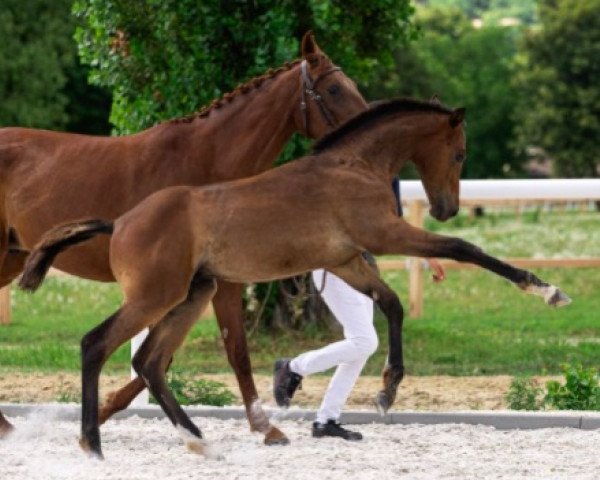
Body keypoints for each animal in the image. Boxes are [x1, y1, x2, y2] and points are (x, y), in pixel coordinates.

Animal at [0, 31, 366, 442]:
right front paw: (266, 428)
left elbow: (179, 355)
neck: (205, 161)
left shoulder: (205, 282)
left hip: (11, 257)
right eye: (333, 88)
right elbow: (222, 351)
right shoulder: (200, 283)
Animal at [19, 99, 572, 460]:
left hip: (191, 295)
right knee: (97, 344)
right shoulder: (384, 234)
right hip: (157, 295)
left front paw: (387, 389)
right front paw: (546, 289)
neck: (354, 165)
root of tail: (120, 222)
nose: (447, 208)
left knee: (149, 361)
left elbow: (391, 303)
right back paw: (93, 445)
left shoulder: (349, 259)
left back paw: (199, 441)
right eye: (459, 153)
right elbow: (463, 250)